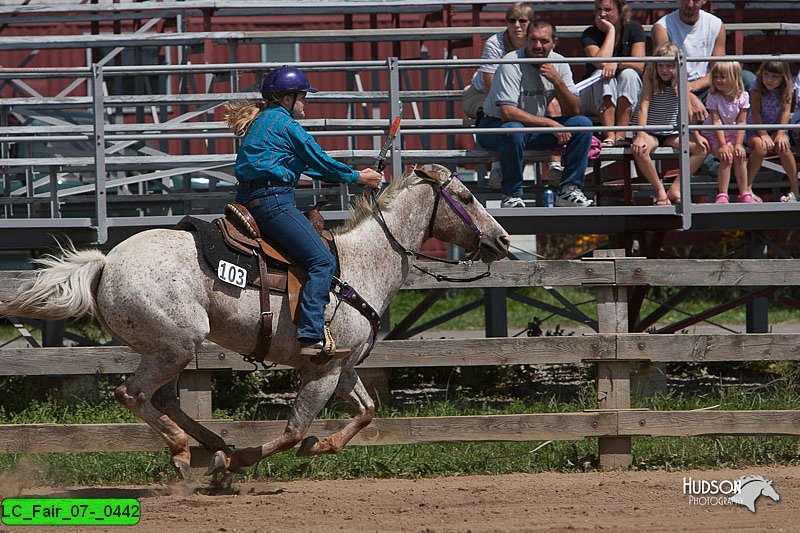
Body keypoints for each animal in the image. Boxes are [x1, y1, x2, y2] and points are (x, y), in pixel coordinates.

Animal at [0, 164, 510, 476]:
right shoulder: (322, 369)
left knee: (163, 400)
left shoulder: (343, 369)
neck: (361, 264)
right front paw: (249, 458)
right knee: (134, 394)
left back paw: (211, 445)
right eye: (466, 196)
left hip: (167, 350)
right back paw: (190, 451)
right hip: (177, 345)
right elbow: (294, 430)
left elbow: (366, 412)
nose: (503, 240)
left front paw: (319, 447)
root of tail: (105, 263)